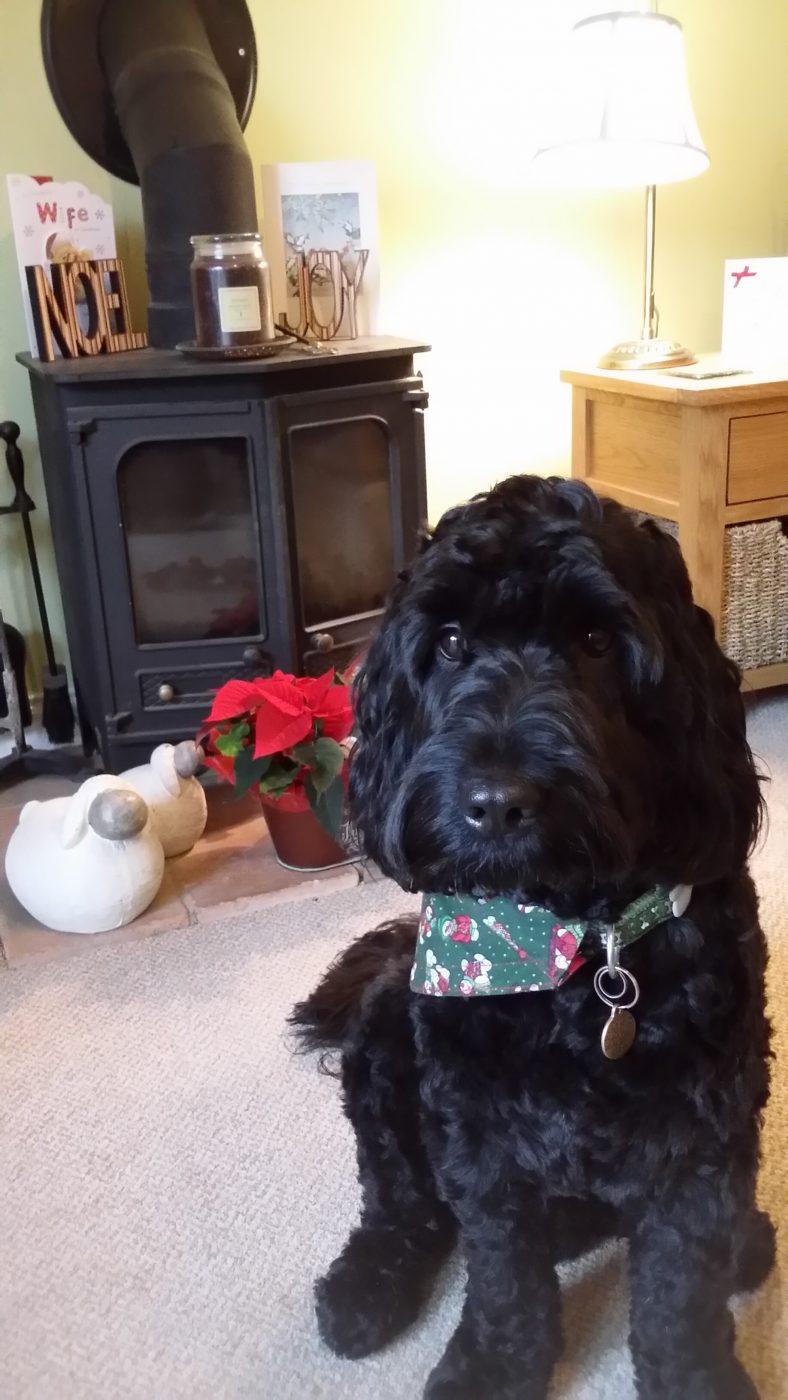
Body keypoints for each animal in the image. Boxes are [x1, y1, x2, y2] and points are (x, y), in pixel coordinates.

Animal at [291, 476, 778, 1394]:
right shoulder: (481, 1141)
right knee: (402, 1202)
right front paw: (491, 1364)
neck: (566, 947)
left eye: (595, 642)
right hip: (383, 1046)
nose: (496, 802)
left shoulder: (702, 1135)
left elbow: (679, 1289)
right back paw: (367, 1285)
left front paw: (694, 1373)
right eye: (449, 643)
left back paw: (747, 1243)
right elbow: (503, 1273)